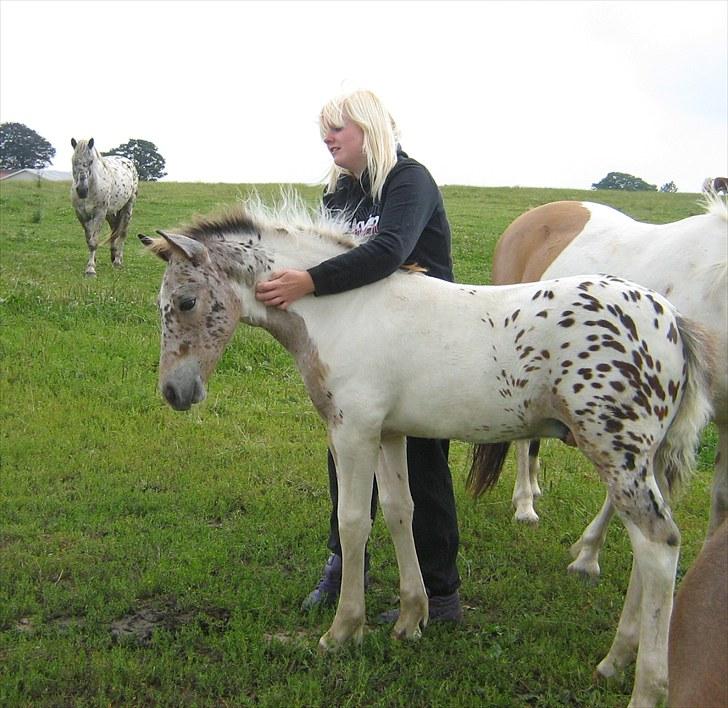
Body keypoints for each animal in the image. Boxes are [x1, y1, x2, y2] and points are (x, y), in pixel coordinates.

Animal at [71, 137, 139, 276]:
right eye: (73, 161)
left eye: (91, 161)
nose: (82, 190)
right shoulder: (81, 215)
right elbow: (89, 239)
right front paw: (94, 261)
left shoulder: (99, 214)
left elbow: (94, 241)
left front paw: (90, 269)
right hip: (110, 212)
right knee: (114, 230)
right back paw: (113, 255)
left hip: (128, 207)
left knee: (123, 233)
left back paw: (118, 260)